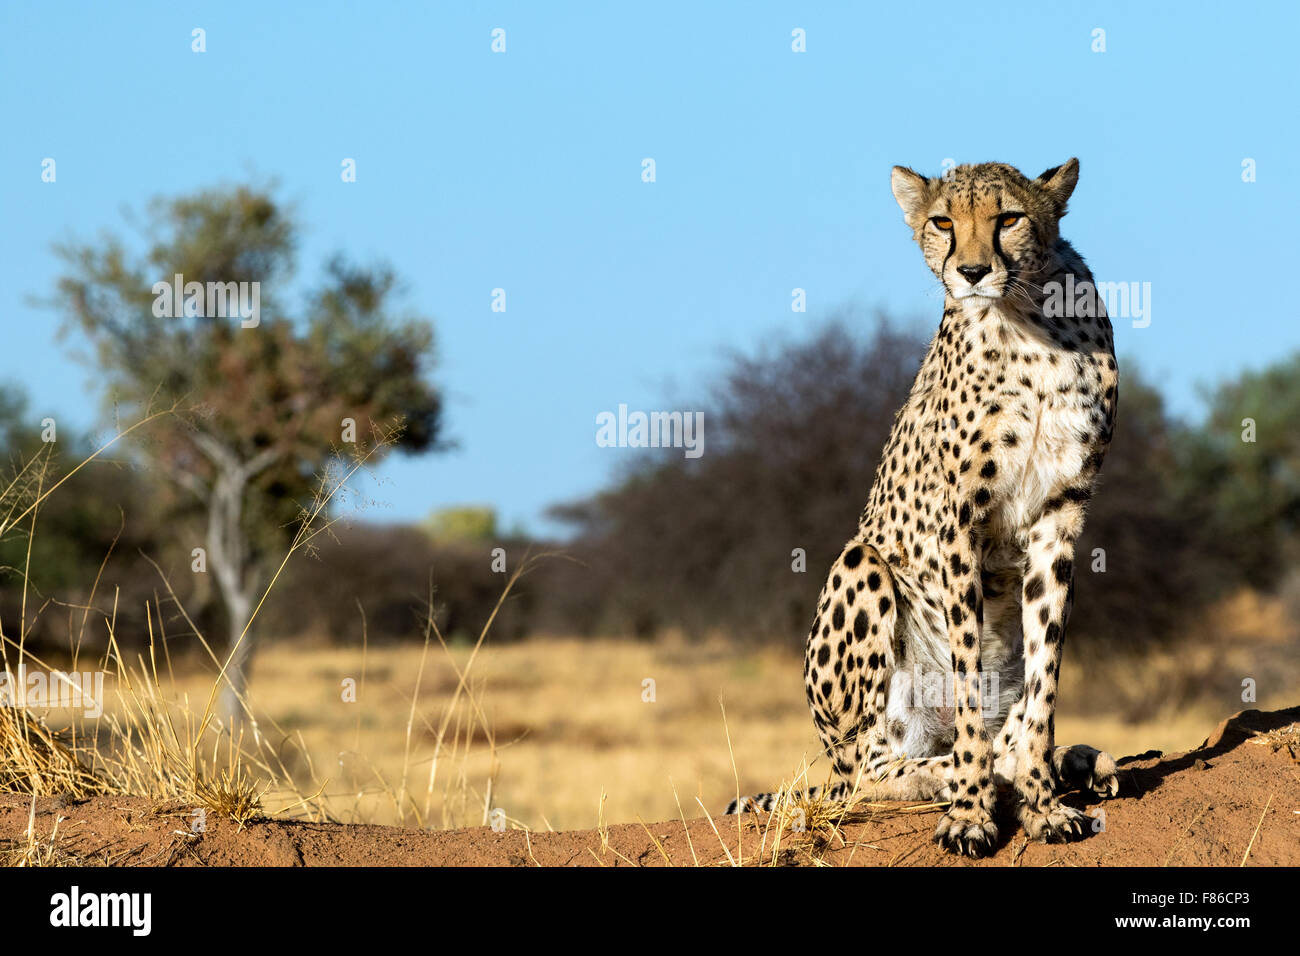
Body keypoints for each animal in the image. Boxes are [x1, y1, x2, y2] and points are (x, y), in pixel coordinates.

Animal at [728, 160, 1123, 858]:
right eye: (942, 222)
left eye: (1009, 218)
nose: (971, 271)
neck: (1025, 320)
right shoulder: (958, 522)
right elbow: (967, 681)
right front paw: (970, 810)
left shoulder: (1060, 518)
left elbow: (1044, 678)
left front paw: (1044, 803)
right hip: (861, 570)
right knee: (866, 774)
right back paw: (955, 773)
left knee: (1000, 725)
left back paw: (1068, 763)